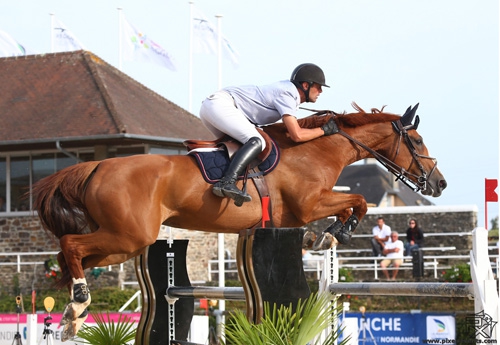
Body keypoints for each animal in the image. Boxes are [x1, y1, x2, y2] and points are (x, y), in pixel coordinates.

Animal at [32, 102, 446, 338]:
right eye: (418, 141)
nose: (439, 183)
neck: (316, 150)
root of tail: (96, 165)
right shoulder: (307, 205)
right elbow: (358, 202)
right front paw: (333, 235)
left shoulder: (300, 212)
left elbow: (350, 205)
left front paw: (326, 237)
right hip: (130, 236)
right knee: (70, 246)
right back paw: (78, 303)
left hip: (123, 242)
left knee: (70, 256)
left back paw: (72, 314)